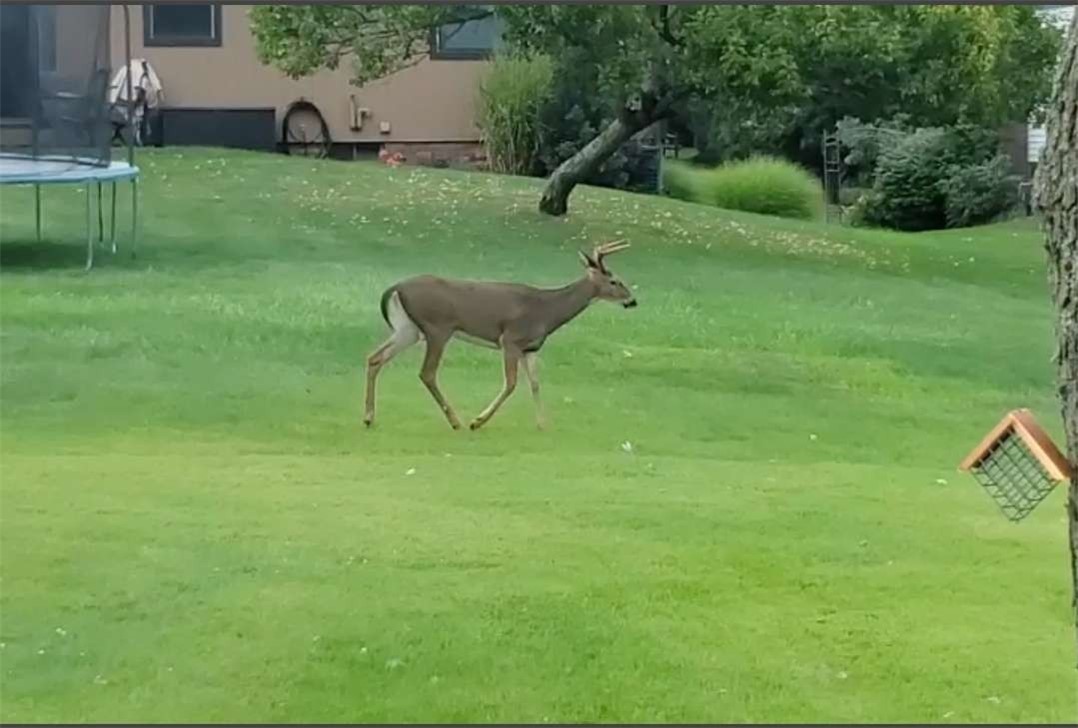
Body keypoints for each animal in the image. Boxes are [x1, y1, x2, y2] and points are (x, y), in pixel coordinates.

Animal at [366, 239, 633, 433]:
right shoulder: (510, 339)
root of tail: (394, 289)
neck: (547, 311)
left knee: (375, 358)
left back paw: (369, 417)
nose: (632, 300)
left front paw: (543, 424)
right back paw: (456, 421)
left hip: (409, 329)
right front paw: (478, 421)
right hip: (437, 328)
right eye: (614, 281)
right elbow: (512, 383)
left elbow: (535, 383)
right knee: (427, 373)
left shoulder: (530, 348)